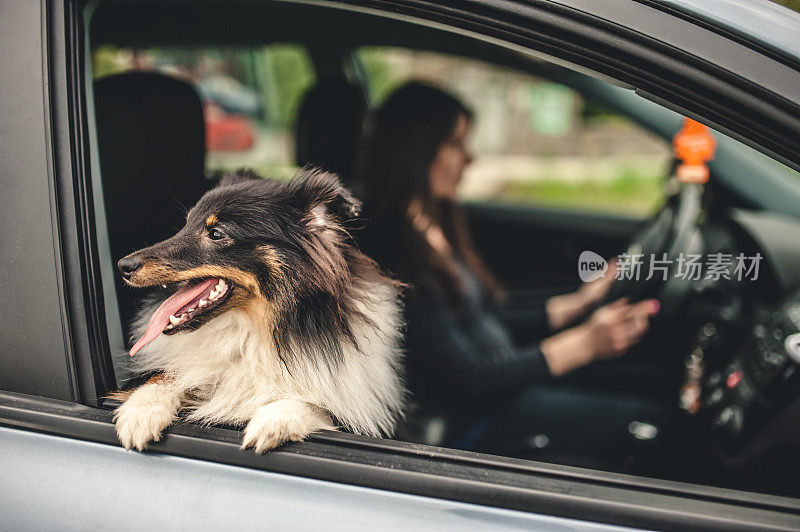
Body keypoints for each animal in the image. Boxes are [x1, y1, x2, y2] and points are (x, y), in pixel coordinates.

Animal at [112, 170, 406, 454]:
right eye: (185, 224)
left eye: (216, 233)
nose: (123, 265)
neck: (255, 331)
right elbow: (165, 377)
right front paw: (139, 412)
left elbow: (317, 405)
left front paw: (272, 421)